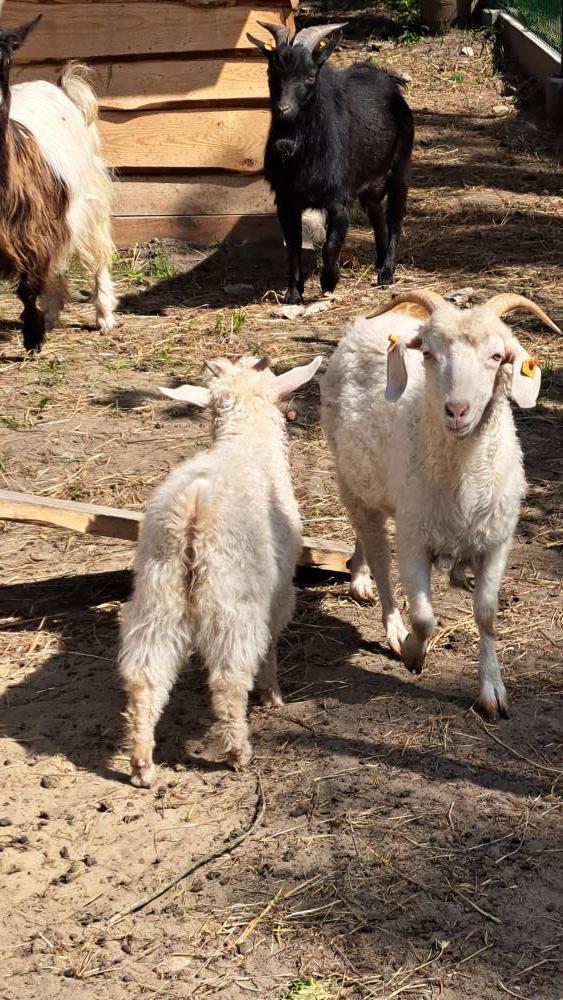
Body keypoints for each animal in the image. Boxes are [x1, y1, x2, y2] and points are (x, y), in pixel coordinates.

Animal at [0, 15, 116, 351]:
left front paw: (33, 339)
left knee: (98, 250)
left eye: (8, 57)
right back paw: (52, 313)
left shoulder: (31, 229)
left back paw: (104, 316)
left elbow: (27, 288)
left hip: (88, 195)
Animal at [119, 354, 322, 788]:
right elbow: (272, 645)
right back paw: (238, 751)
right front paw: (273, 695)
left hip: (157, 590)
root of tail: (193, 507)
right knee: (229, 679)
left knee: (144, 675)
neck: (245, 442)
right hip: (233, 596)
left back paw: (142, 764)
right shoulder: (278, 592)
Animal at [246, 22, 414, 304]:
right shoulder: (286, 200)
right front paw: (293, 293)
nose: (283, 109)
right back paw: (380, 263)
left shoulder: (339, 200)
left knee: (394, 219)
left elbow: (330, 245)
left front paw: (329, 281)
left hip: (399, 169)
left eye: (310, 75)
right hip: (370, 184)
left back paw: (387, 273)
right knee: (377, 215)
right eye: (271, 72)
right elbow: (293, 248)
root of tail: (388, 81)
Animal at [321, 289, 560, 719]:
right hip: (350, 477)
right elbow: (424, 618)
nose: (457, 410)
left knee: (367, 532)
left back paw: (359, 574)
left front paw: (493, 690)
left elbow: (487, 614)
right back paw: (384, 613)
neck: (463, 478)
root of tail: (366, 323)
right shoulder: (414, 539)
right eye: (428, 353)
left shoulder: (497, 540)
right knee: (379, 557)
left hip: (374, 484)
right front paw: (413, 652)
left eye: (497, 356)